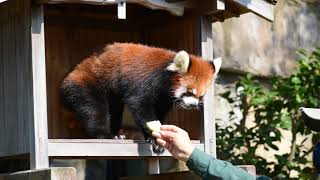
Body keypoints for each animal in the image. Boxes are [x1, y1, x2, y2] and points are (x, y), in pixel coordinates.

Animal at [60, 43, 221, 150]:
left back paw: (116, 133)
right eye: (189, 92)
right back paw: (105, 134)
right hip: (88, 83)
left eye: (201, 95)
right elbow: (140, 106)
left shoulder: (163, 98)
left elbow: (159, 111)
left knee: (114, 109)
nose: (193, 105)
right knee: (94, 109)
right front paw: (154, 138)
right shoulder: (145, 83)